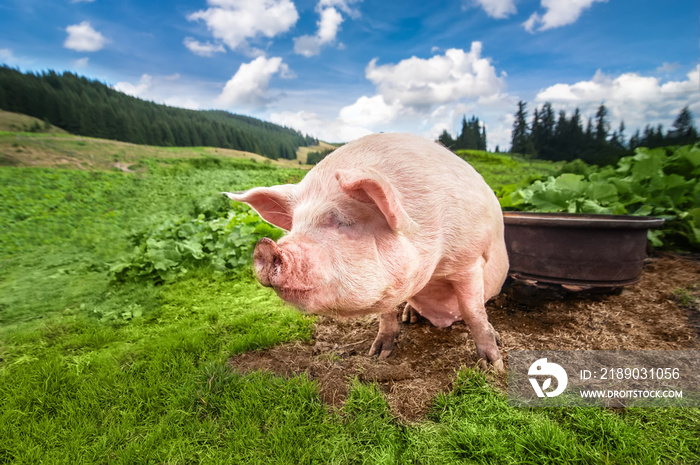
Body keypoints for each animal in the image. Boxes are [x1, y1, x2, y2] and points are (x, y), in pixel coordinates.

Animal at [227, 131, 506, 370]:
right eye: (295, 225)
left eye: (344, 221)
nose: (266, 246)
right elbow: (385, 314)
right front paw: (377, 354)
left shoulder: (468, 260)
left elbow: (473, 312)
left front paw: (493, 366)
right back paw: (410, 317)